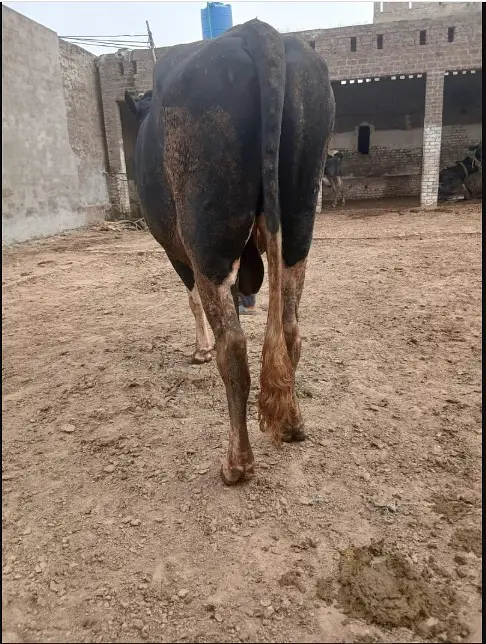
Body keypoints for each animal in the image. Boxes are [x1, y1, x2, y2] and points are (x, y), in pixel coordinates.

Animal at [125, 19, 335, 485]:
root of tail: (257, 31)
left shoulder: (176, 251)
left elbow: (191, 302)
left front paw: (199, 349)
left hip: (207, 239)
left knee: (234, 348)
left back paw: (236, 462)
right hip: (298, 222)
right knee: (290, 325)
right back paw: (294, 425)